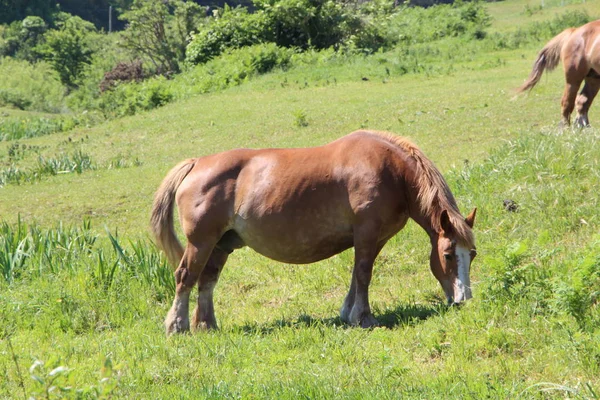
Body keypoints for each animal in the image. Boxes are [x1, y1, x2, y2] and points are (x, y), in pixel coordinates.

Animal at [151, 130, 478, 334]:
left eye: (472, 254)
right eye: (448, 255)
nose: (464, 300)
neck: (391, 171)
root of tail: (196, 164)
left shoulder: (374, 239)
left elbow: (357, 275)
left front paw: (348, 313)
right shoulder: (367, 233)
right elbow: (364, 274)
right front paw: (364, 318)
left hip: (221, 245)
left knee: (206, 282)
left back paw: (207, 325)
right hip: (201, 242)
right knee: (185, 277)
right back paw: (177, 326)